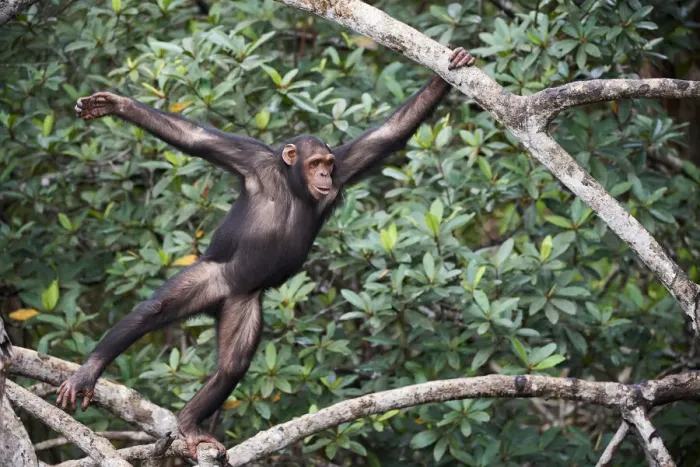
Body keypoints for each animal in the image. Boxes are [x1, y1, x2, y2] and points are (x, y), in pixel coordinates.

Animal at [56, 47, 475, 459]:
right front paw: (116, 105)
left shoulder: (348, 163)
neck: (293, 185)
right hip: (207, 277)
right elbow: (193, 137)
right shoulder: (250, 157)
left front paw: (451, 68)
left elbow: (390, 133)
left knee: (232, 365)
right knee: (153, 310)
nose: (323, 176)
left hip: (243, 304)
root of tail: (219, 299)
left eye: (327, 164)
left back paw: (190, 423)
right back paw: (90, 372)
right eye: (314, 163)